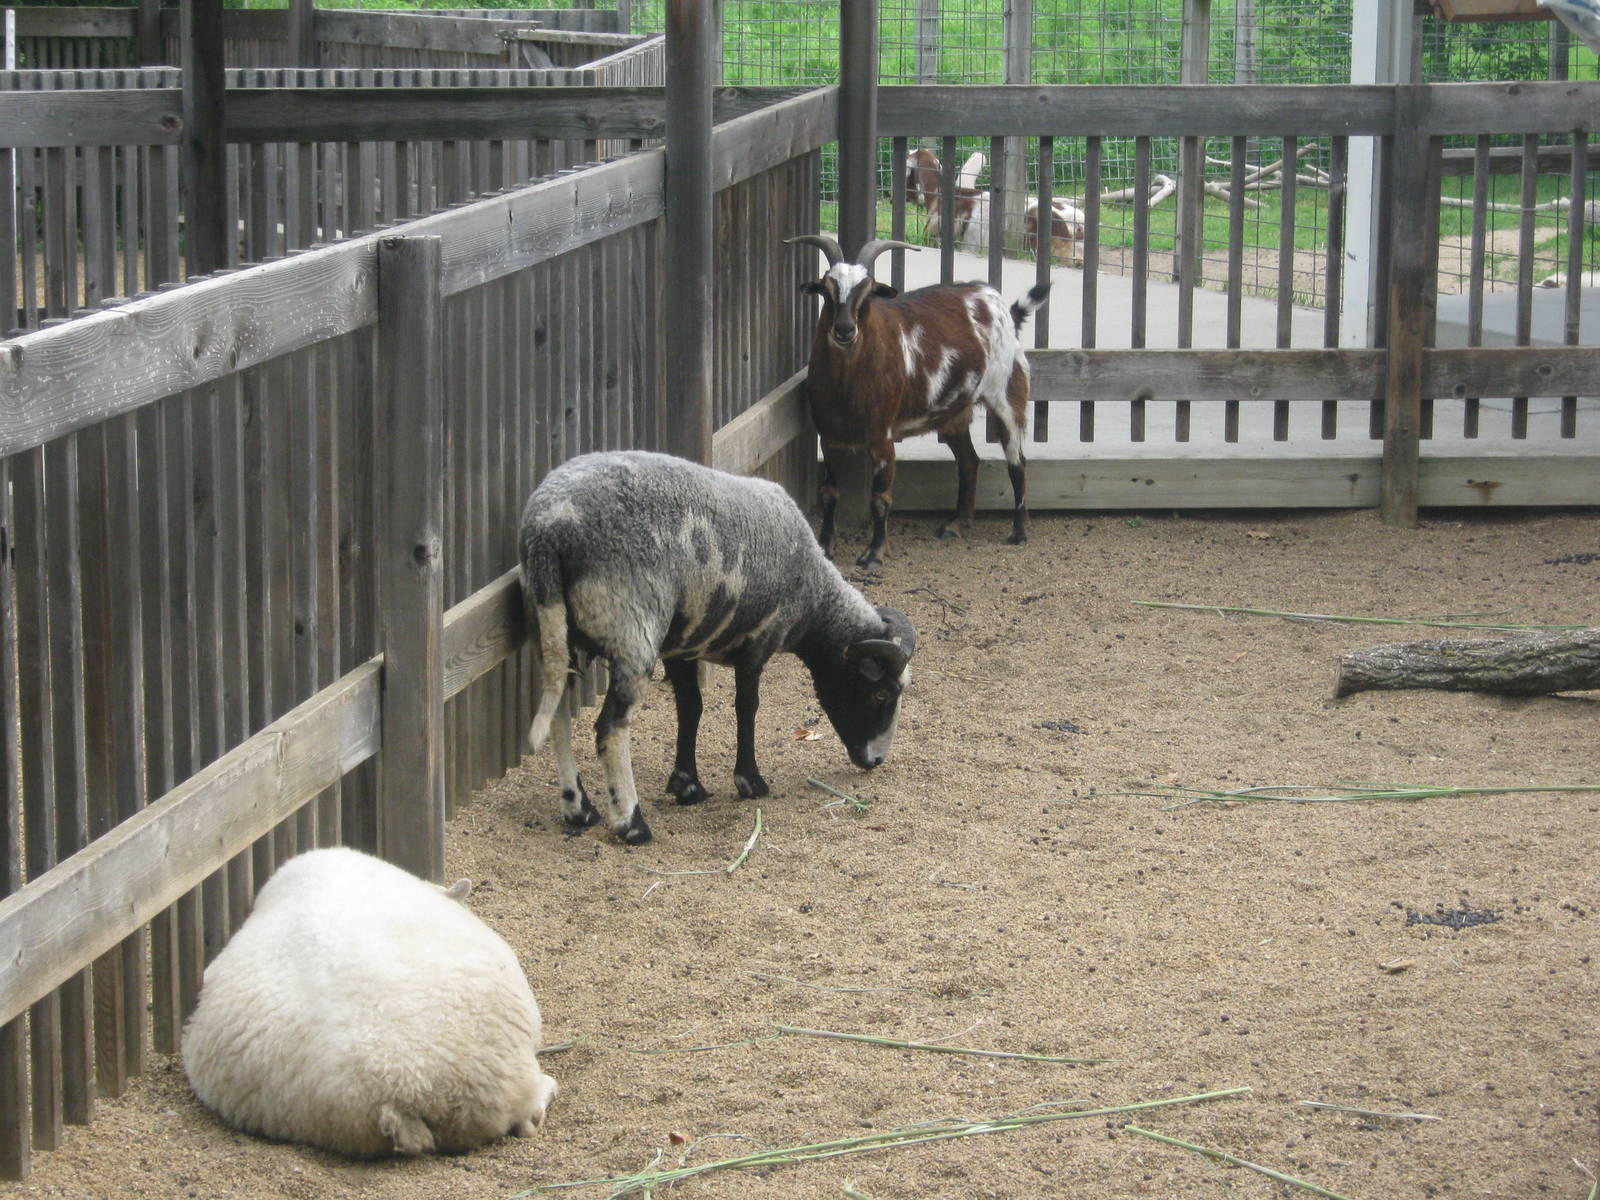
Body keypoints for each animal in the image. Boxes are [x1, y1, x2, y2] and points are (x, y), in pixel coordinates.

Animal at [520, 450, 917, 845]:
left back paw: (578, 808)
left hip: (555, 630)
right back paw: (631, 823)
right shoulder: (758, 641)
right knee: (611, 728)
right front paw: (750, 782)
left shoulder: (681, 648)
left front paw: (687, 785)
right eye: (881, 694)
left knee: (558, 714)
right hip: (632, 626)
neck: (813, 596)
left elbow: (690, 708)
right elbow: (747, 707)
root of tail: (548, 529)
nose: (876, 761)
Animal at [786, 233, 1049, 567]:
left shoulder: (882, 438)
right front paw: (824, 546)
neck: (848, 387)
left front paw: (874, 553)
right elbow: (830, 493)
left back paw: (1019, 531)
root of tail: (1003, 307)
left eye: (868, 292)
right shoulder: (828, 437)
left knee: (1017, 460)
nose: (844, 330)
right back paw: (957, 523)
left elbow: (880, 498)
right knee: (969, 460)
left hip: (1007, 394)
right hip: (954, 415)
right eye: (826, 288)